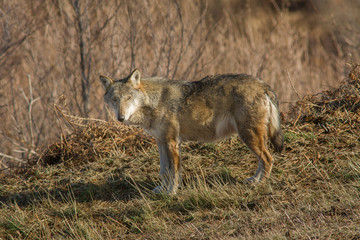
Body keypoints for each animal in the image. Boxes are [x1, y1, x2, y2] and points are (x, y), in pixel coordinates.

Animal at [100, 69, 282, 193]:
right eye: (114, 99)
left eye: (128, 98)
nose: (121, 118)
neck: (154, 102)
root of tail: (264, 85)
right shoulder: (161, 142)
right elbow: (163, 171)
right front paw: (161, 190)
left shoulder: (172, 142)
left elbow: (174, 172)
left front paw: (171, 192)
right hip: (250, 137)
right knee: (263, 160)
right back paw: (254, 180)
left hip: (248, 136)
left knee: (268, 159)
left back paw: (261, 183)